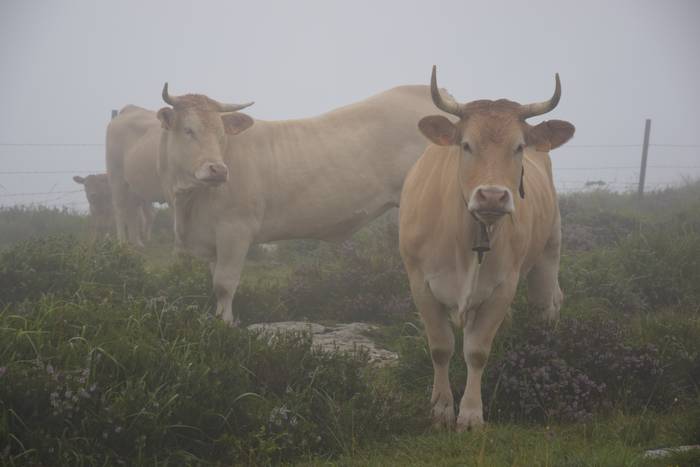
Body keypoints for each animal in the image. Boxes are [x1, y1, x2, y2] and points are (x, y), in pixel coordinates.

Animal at [106, 104, 166, 247]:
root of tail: (129, 109)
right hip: (116, 177)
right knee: (120, 208)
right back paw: (122, 242)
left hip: (134, 185)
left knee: (133, 210)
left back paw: (137, 243)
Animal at [400, 66, 576, 432]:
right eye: (466, 145)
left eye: (519, 146)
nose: (492, 196)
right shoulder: (420, 283)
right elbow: (441, 348)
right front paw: (441, 408)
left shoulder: (501, 287)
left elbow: (476, 351)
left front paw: (470, 414)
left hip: (549, 249)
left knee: (547, 304)